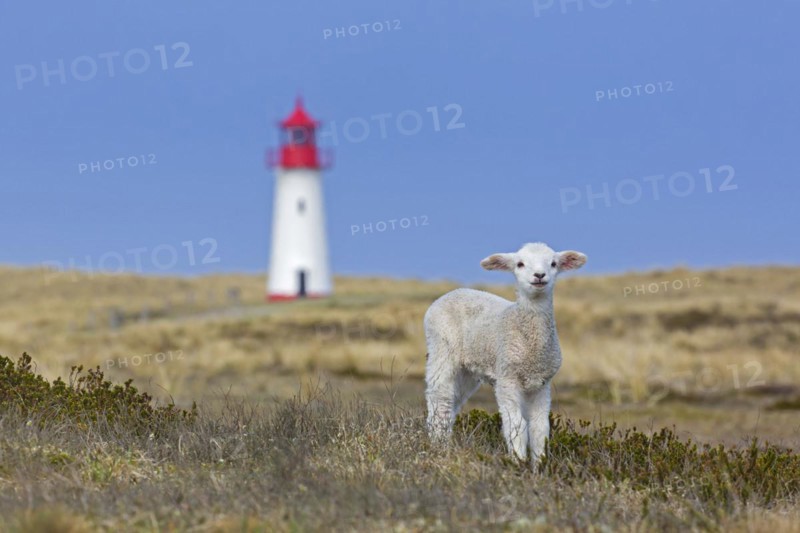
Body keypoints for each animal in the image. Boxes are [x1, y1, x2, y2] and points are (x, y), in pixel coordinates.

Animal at [424, 242, 586, 465]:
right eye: (520, 264)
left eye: (553, 263)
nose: (539, 275)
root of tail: (452, 292)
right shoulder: (507, 379)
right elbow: (516, 425)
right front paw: (517, 461)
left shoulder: (542, 383)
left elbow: (539, 427)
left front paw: (539, 465)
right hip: (442, 348)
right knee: (440, 400)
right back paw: (437, 445)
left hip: (468, 370)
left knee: (452, 402)